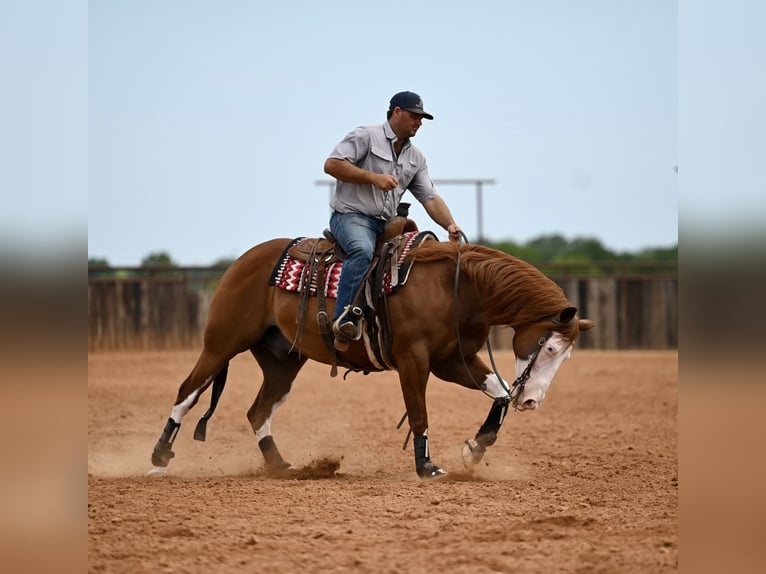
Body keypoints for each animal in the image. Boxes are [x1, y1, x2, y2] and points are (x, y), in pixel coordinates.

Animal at [149, 235, 595, 479]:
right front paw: (427, 467)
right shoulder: (414, 361)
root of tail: (242, 261)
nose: (533, 401)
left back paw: (283, 466)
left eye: (566, 356)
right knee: (187, 393)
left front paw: (475, 448)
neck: (455, 289)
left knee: (258, 410)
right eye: (550, 347)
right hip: (221, 344)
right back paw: (158, 460)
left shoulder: (451, 361)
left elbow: (499, 391)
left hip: (282, 360)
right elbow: (418, 413)